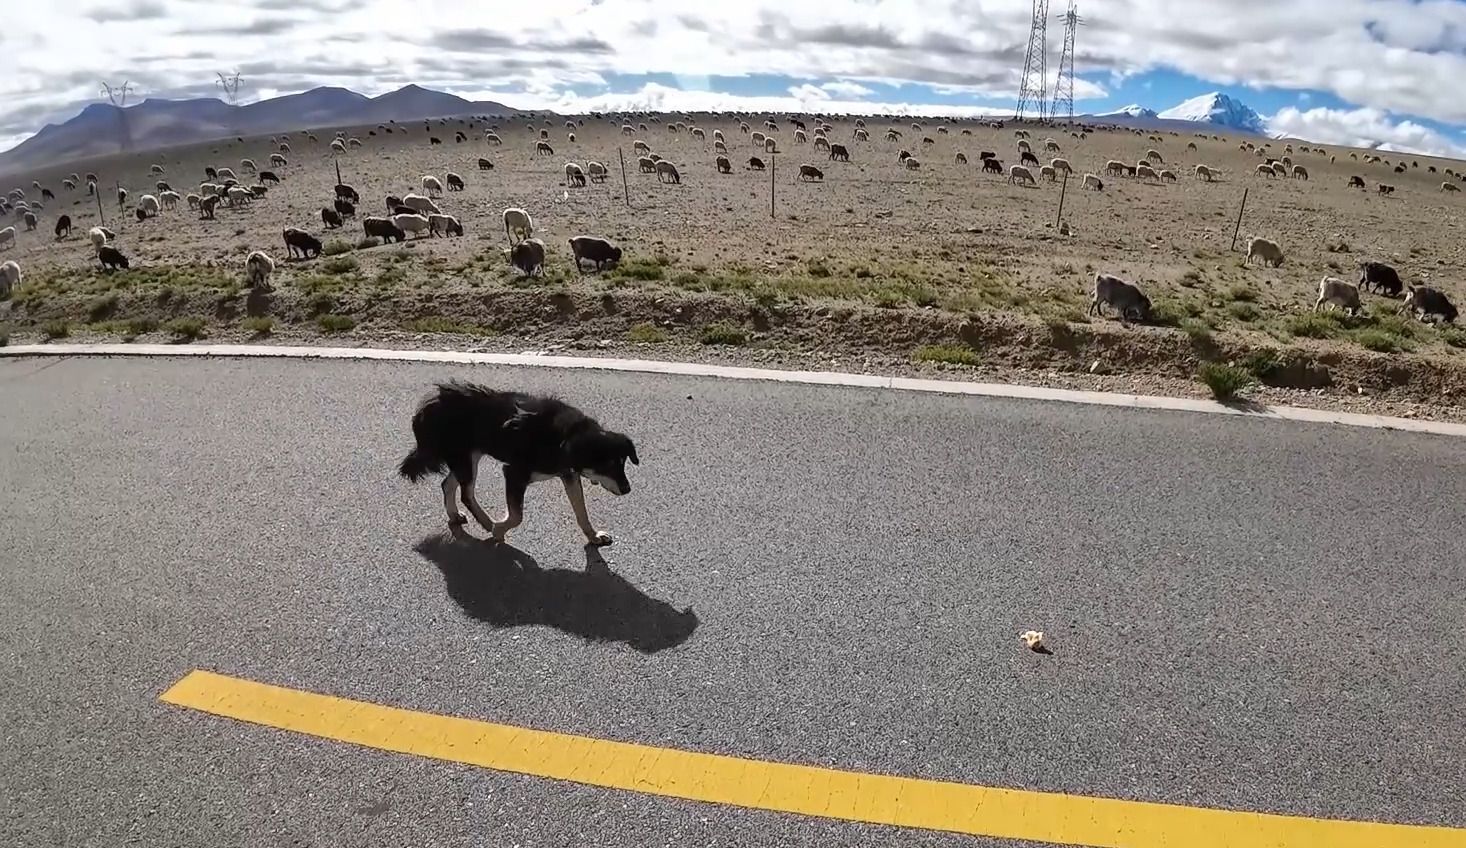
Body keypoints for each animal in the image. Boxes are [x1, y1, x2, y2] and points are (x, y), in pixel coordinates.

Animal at [398, 381, 639, 545]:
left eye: (623, 463)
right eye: (607, 465)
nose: (627, 489)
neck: (565, 438)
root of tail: (430, 405)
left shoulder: (569, 474)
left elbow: (581, 511)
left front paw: (593, 536)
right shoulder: (514, 473)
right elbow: (516, 516)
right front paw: (498, 530)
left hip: (468, 456)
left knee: (448, 485)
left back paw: (455, 516)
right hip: (465, 458)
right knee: (466, 494)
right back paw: (487, 522)